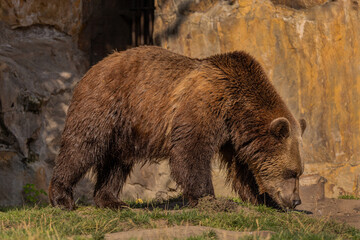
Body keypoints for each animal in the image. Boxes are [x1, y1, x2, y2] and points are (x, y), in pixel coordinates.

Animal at [48, 45, 306, 210]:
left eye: (299, 173)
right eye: (292, 172)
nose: (296, 200)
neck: (239, 109)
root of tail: (95, 65)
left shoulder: (235, 136)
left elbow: (243, 168)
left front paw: (263, 200)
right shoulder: (206, 104)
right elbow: (191, 150)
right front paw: (211, 199)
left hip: (125, 128)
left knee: (116, 162)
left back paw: (111, 200)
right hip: (106, 103)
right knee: (82, 147)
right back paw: (62, 198)